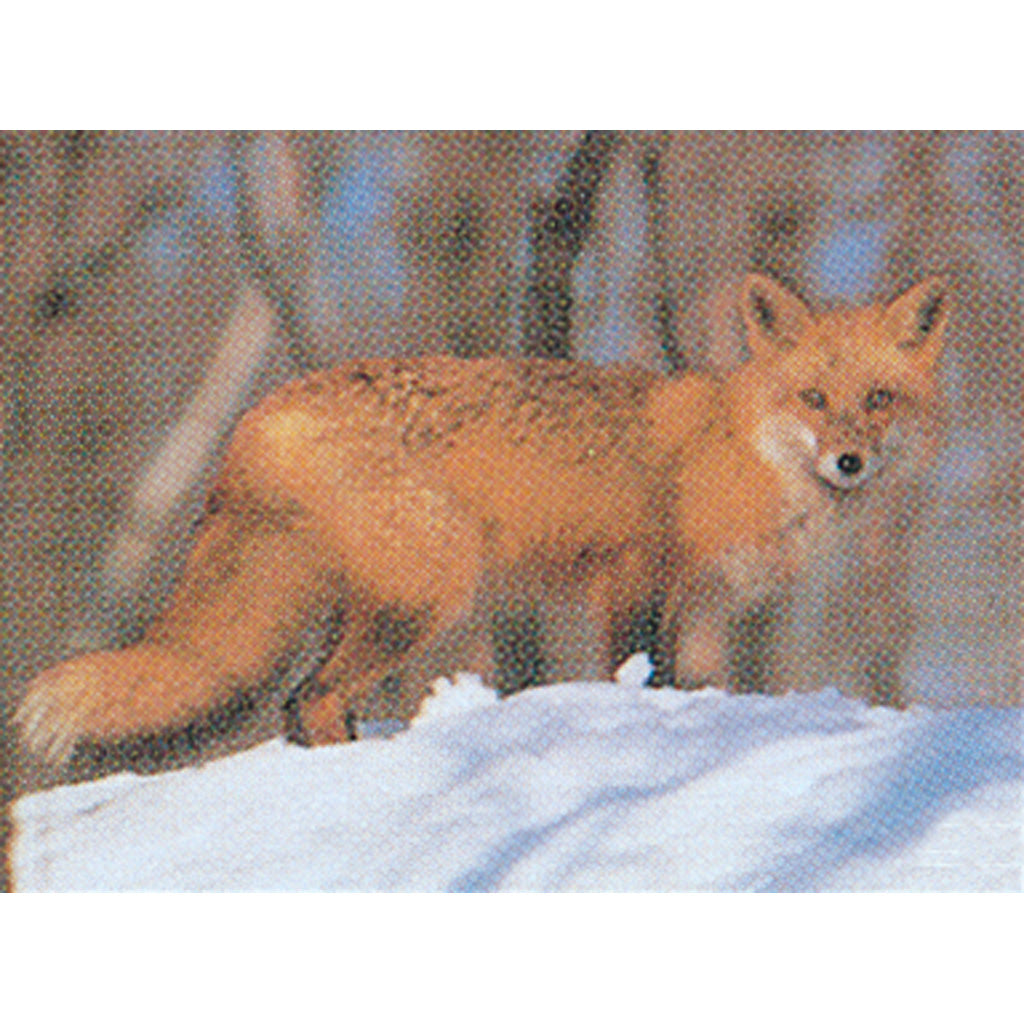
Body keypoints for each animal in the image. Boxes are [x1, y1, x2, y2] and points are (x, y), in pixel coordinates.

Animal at [15, 273, 948, 769]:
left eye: (877, 401)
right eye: (814, 400)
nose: (849, 462)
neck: (740, 445)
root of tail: (264, 409)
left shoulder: (682, 596)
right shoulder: (635, 574)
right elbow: (639, 674)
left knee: (294, 704)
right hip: (431, 589)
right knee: (312, 696)